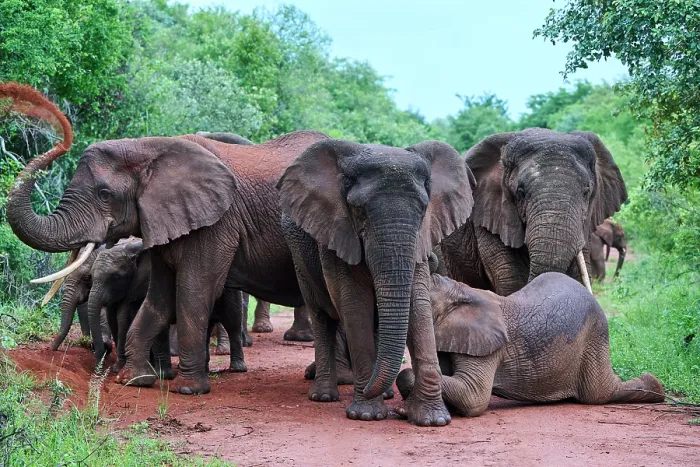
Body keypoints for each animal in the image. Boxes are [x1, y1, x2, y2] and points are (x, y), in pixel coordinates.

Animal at [3, 83, 328, 394]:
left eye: (104, 194)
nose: (62, 140)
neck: (148, 147)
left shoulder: (217, 222)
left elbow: (193, 292)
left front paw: (188, 389)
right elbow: (160, 297)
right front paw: (135, 380)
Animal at [278, 138, 475, 426]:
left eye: (423, 210)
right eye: (360, 211)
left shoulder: (421, 239)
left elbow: (418, 306)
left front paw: (432, 420)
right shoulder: (340, 235)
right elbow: (356, 306)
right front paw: (365, 415)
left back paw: (387, 393)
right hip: (299, 257)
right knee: (322, 318)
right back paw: (325, 396)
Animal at [396, 272, 665, 417]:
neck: (460, 290)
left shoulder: (490, 346)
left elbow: (473, 397)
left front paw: (405, 410)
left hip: (595, 334)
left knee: (598, 393)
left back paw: (655, 385)